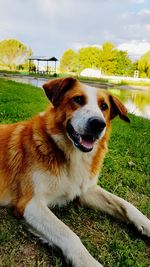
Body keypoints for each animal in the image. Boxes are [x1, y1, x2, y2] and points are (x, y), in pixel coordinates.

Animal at [0, 77, 149, 266]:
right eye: (78, 99)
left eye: (104, 106)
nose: (98, 124)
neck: (69, 155)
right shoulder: (30, 203)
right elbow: (69, 234)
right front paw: (89, 262)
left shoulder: (83, 190)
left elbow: (124, 204)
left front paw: (146, 224)